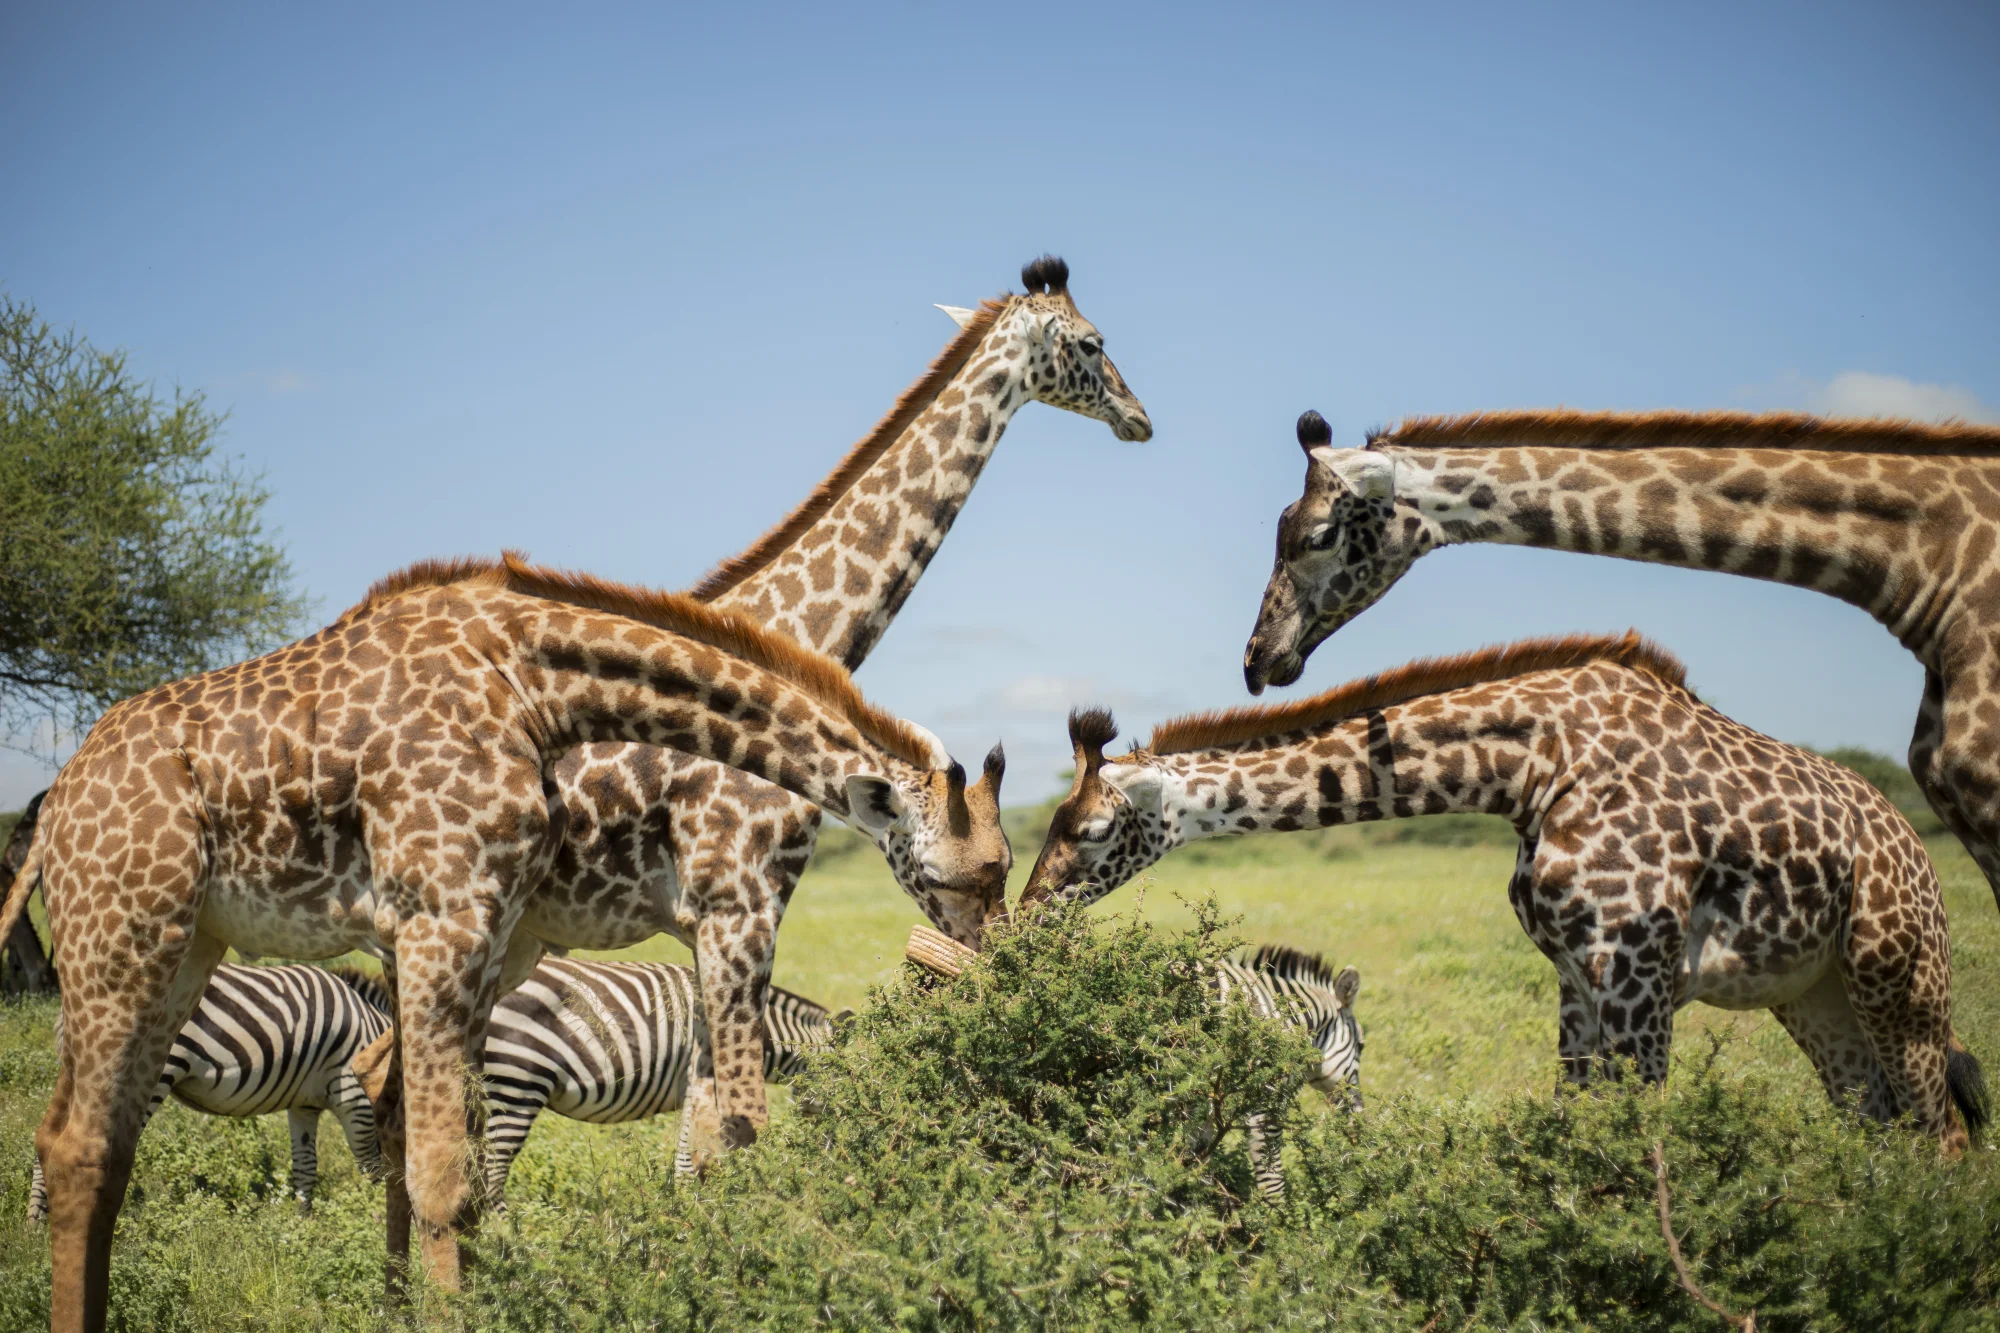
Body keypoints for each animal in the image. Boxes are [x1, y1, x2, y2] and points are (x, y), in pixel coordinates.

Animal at [28, 963, 392, 1221]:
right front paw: (372, 1215)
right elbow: (372, 1166)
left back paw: (37, 1224)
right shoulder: (354, 1094)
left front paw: (302, 1225)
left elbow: (306, 1167)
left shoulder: (304, 1105)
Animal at [480, 957, 844, 1211]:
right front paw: (697, 1212)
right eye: (843, 1078)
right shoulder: (702, 1081)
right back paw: (509, 1246)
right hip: (516, 1082)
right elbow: (695, 1155)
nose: (832, 1157)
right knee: (490, 1178)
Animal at [520, 255, 1152, 1166]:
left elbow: (696, 1137)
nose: (1140, 418)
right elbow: (732, 1127)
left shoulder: (711, 919)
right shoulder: (737, 904)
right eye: (1094, 343)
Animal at [1025, 634, 1991, 1151]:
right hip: (1815, 995)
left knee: (1942, 1131)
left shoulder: (1641, 975)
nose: (1027, 920)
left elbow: (1642, 1137)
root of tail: (1916, 847)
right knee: (1882, 1122)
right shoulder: (1576, 975)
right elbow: (1575, 1123)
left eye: (1089, 829)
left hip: (1900, 983)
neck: (1532, 768)